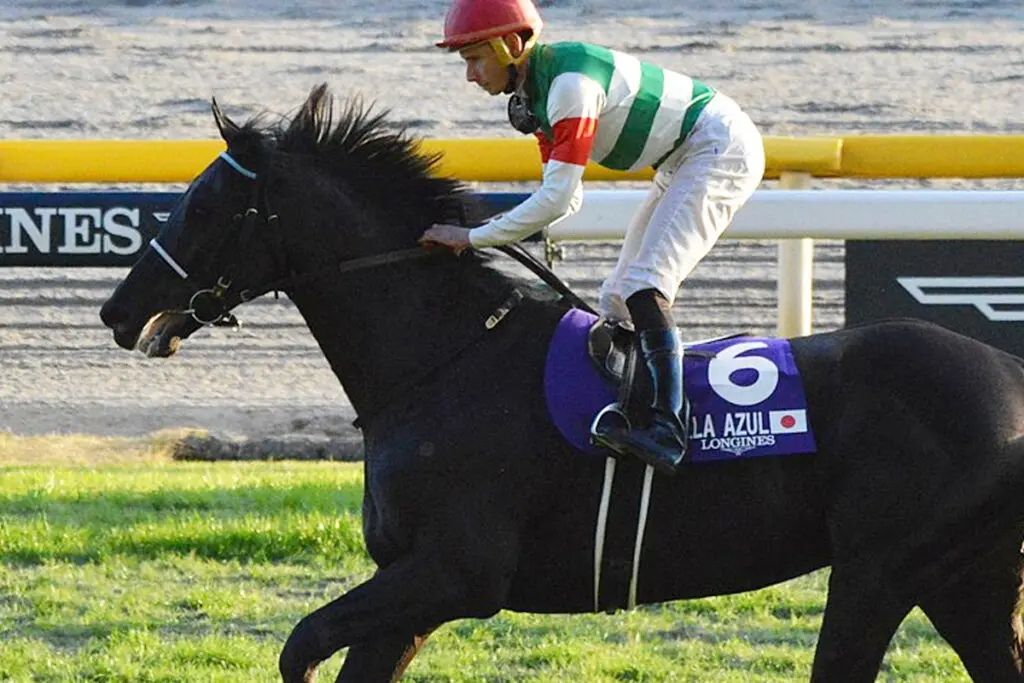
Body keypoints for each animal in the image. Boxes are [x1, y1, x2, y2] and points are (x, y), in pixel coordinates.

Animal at [100, 83, 1024, 683]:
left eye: (202, 206)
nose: (117, 309)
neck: (444, 359)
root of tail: (1007, 368)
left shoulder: (457, 572)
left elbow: (299, 643)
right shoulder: (411, 590)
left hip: (882, 570)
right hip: (965, 580)